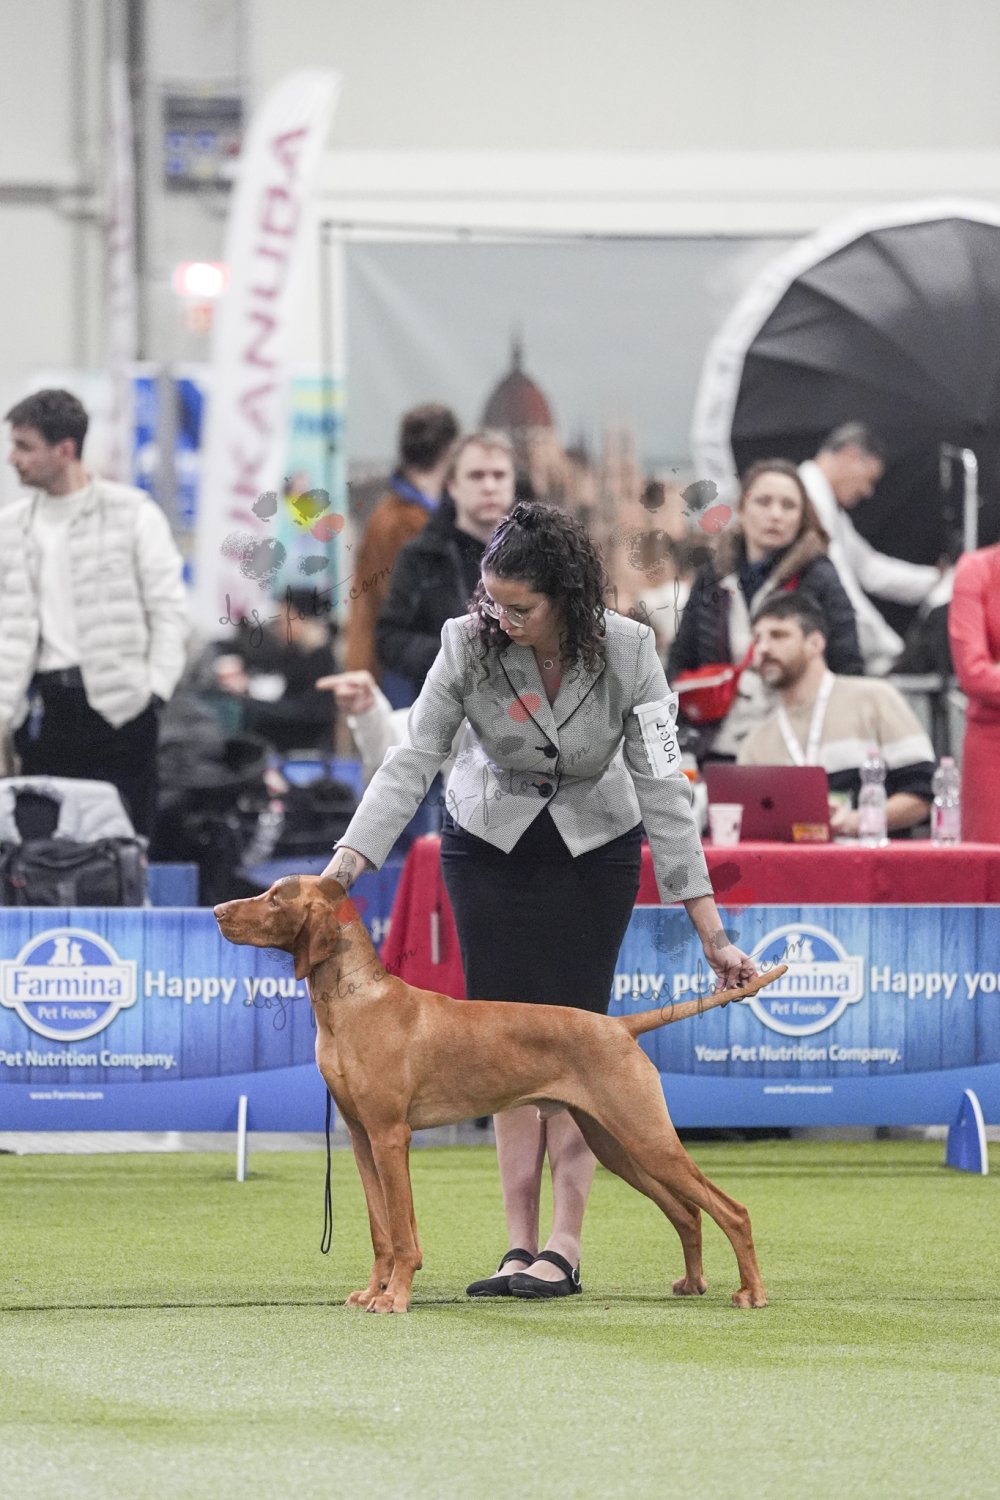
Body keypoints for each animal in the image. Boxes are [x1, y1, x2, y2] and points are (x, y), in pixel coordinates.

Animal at [215, 875, 785, 1314]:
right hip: (617, 1144)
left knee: (732, 1210)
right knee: (687, 1212)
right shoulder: (361, 1138)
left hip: (648, 1136)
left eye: (275, 897)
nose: (218, 910)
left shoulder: (391, 1136)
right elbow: (381, 1230)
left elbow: (401, 1232)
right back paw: (693, 1283)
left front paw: (395, 1297)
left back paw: (752, 1292)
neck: (354, 1003)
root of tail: (619, 1026)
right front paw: (373, 1291)